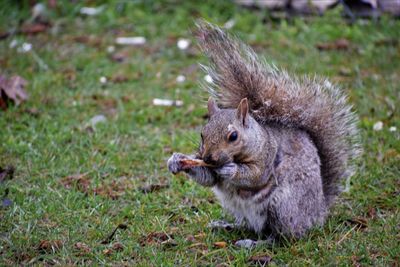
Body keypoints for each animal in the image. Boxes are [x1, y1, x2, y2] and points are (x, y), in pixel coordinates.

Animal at [167, 22, 360, 248]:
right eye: (202, 134)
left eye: (233, 136)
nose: (208, 158)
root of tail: (317, 213)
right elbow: (208, 178)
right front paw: (176, 160)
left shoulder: (268, 156)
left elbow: (256, 176)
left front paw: (232, 170)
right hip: (241, 209)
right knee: (251, 225)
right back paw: (227, 225)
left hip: (282, 207)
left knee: (282, 237)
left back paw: (253, 243)